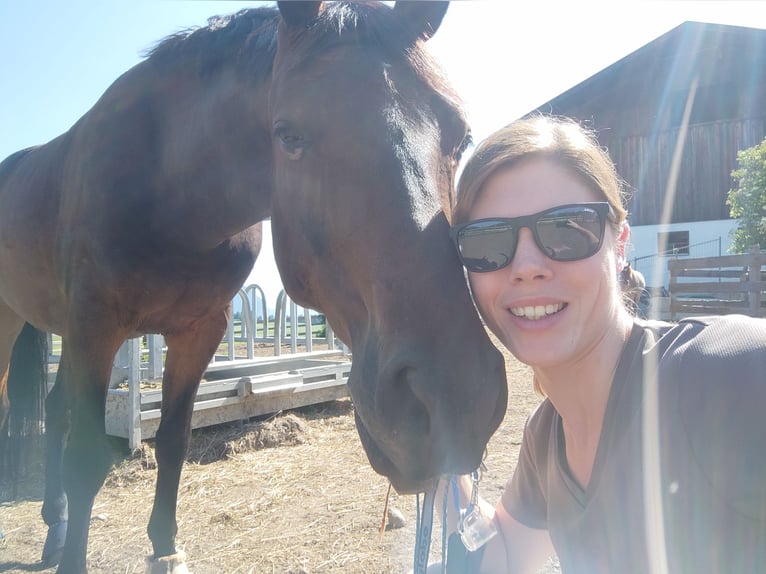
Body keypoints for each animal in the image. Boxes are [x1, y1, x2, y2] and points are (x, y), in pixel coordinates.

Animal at [0, 3, 508, 573]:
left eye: (462, 135)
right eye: (287, 135)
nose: (454, 399)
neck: (165, 190)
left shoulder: (200, 329)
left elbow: (173, 440)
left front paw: (165, 546)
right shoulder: (96, 325)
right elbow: (87, 459)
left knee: (54, 406)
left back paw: (55, 526)